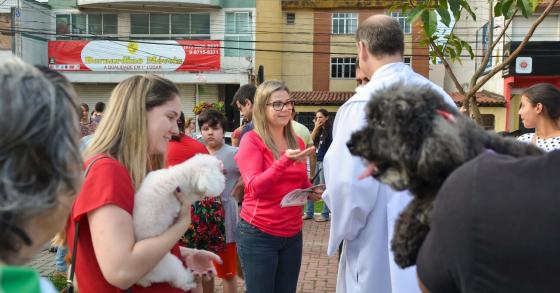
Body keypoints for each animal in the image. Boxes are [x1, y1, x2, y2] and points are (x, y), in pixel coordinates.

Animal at [133, 154, 225, 288]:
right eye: (215, 167)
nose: (222, 164)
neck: (180, 177)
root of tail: (141, 279)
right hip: (171, 266)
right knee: (178, 281)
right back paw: (189, 282)